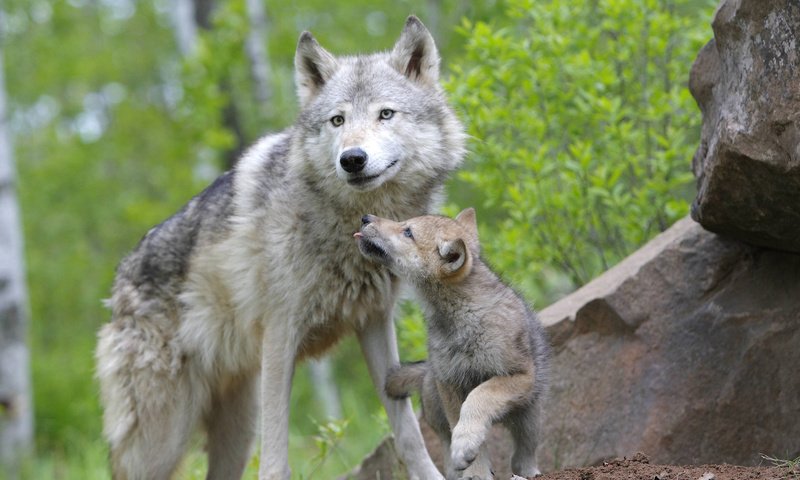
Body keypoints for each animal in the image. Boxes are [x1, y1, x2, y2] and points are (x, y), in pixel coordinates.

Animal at [97, 15, 466, 480]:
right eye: (337, 120)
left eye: (386, 114)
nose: (352, 159)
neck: (349, 226)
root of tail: (119, 283)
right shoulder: (280, 337)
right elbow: (276, 459)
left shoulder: (375, 323)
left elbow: (408, 434)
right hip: (161, 439)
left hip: (236, 429)